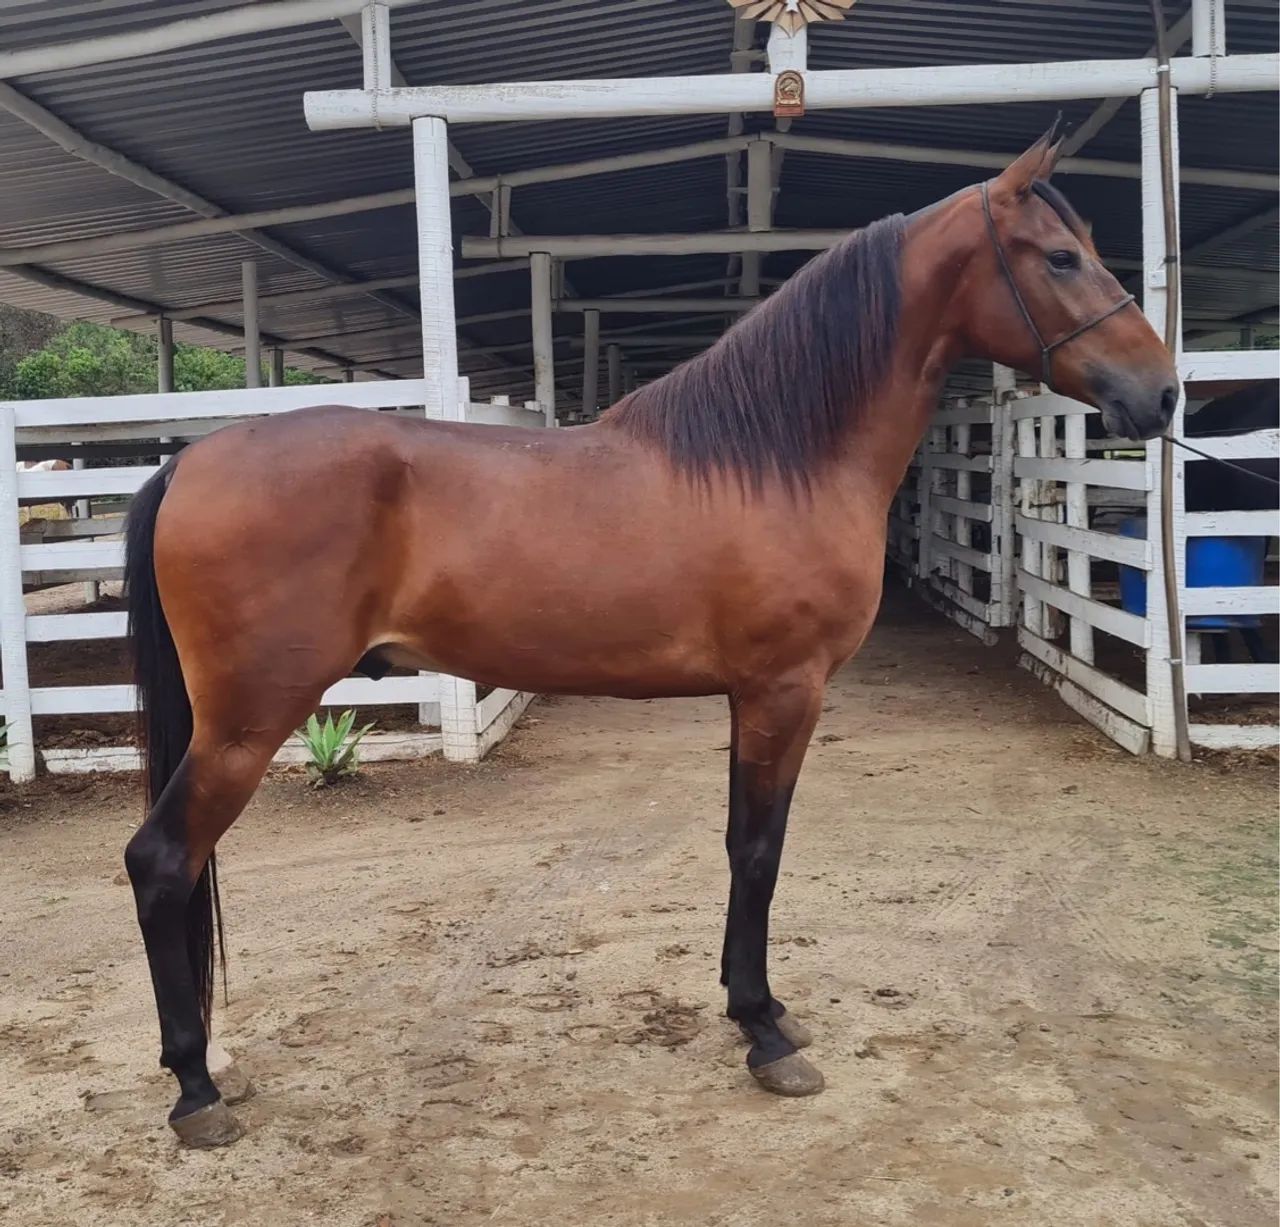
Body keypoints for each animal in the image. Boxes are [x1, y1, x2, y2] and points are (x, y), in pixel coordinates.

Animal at [120, 129, 1178, 1148]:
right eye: (1062, 257)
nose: (1165, 395)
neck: (778, 455)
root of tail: (191, 462)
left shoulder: (754, 694)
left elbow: (744, 841)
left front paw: (763, 1010)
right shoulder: (784, 689)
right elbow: (759, 850)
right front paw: (762, 1033)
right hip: (247, 722)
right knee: (161, 861)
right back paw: (195, 1089)